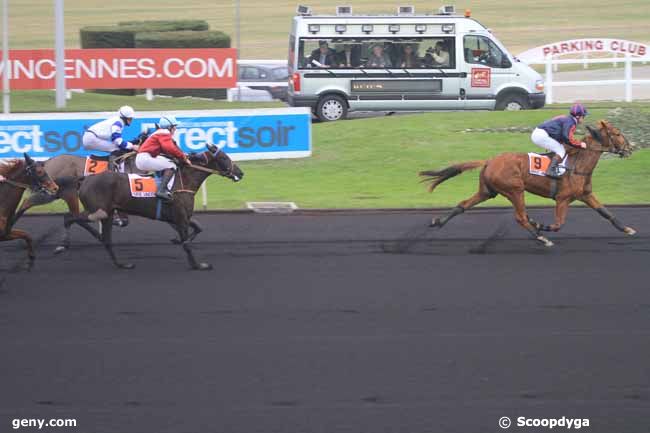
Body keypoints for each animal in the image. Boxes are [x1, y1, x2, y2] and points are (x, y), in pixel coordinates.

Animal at [64, 143, 242, 268]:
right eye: (224, 158)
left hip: (107, 212)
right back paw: (64, 245)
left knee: (104, 239)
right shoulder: (180, 216)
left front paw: (177, 240)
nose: (240, 173)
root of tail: (85, 180)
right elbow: (186, 243)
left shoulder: (180, 216)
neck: (183, 181)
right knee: (70, 218)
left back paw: (121, 264)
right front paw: (197, 265)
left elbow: (197, 228)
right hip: (98, 210)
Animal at [420, 119, 632, 246]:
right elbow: (558, 224)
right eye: (617, 133)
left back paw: (438, 221)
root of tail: (489, 160)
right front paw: (540, 225)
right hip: (515, 190)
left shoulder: (586, 195)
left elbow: (606, 213)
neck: (577, 163)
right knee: (520, 217)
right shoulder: (562, 198)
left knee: (463, 205)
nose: (630, 148)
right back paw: (540, 237)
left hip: (487, 191)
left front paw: (628, 229)